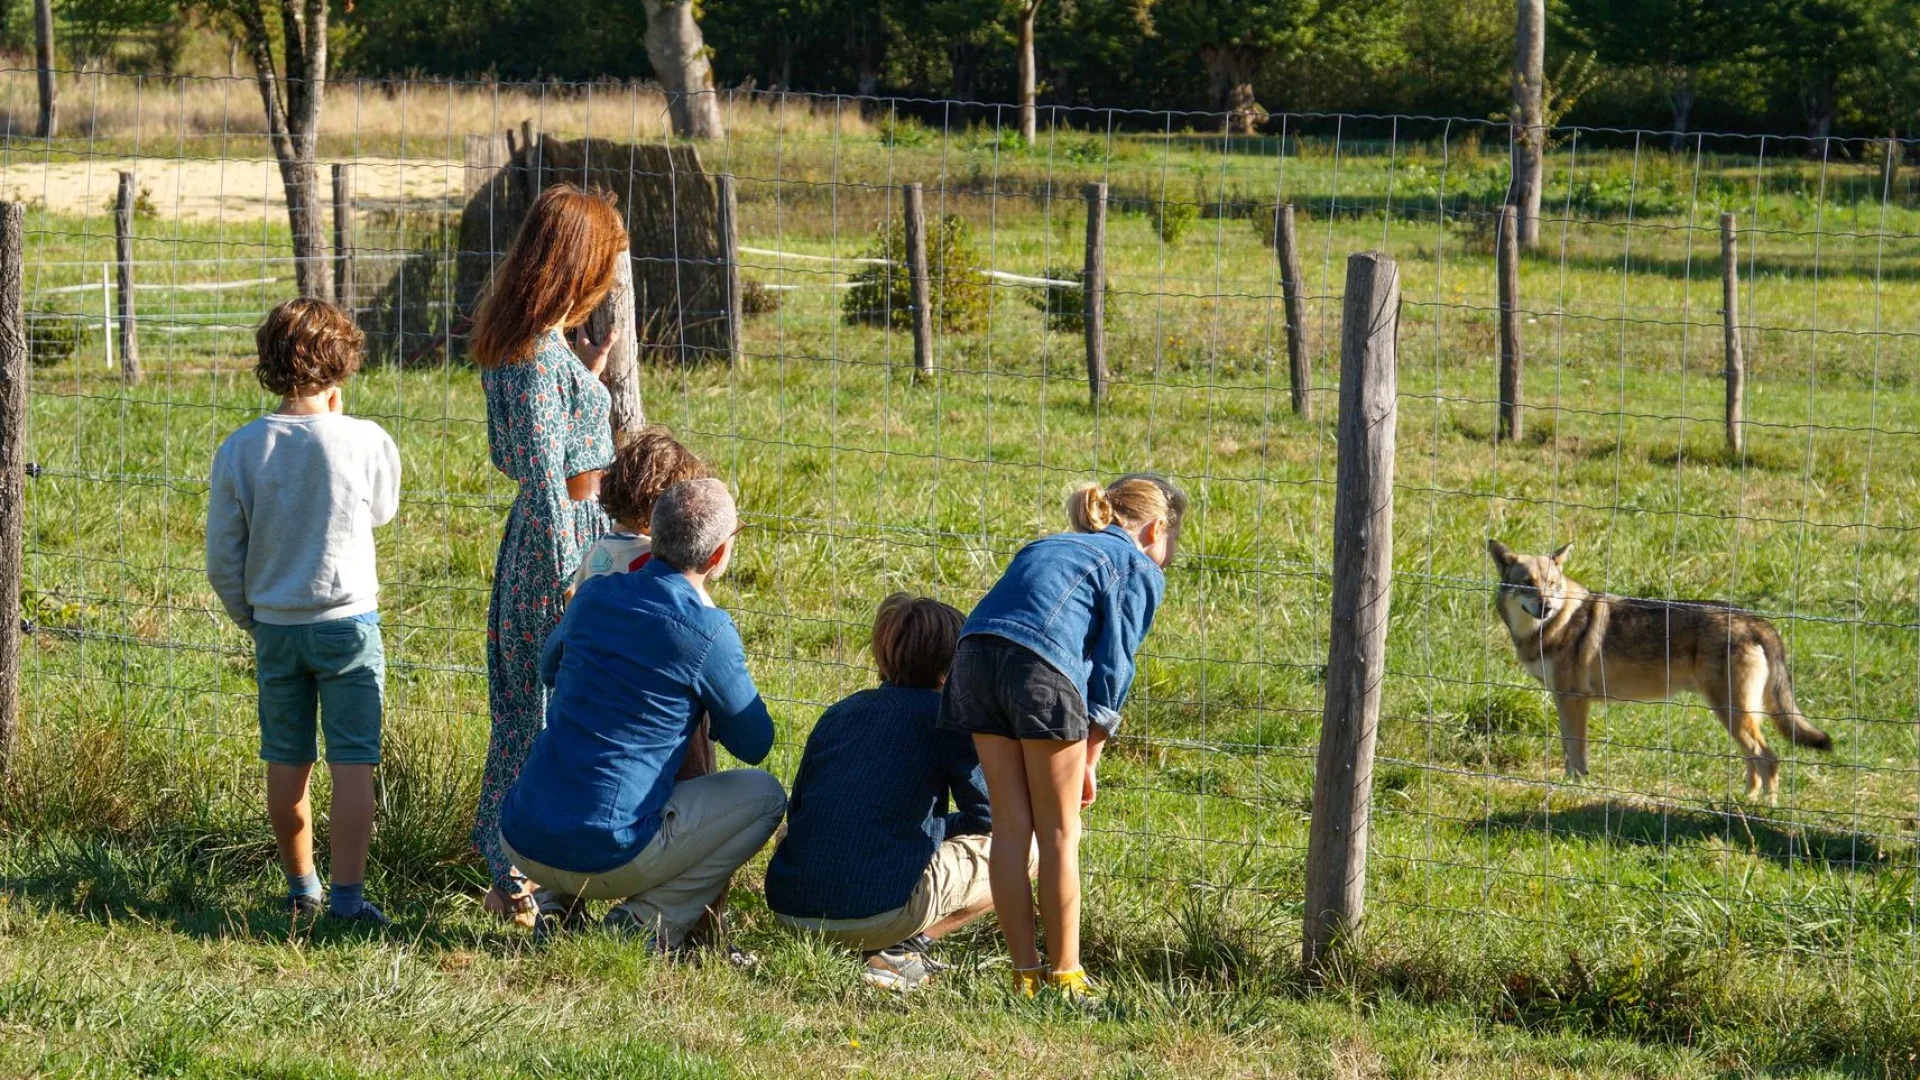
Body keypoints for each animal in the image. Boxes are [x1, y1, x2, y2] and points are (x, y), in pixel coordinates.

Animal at [1482, 538, 1827, 799]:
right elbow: (1570, 750)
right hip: (1738, 716)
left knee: (1770, 759)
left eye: (1552, 584)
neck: (1553, 626)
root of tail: (1754, 619)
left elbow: (1576, 753)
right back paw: (1744, 802)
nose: (1547, 607)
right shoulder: (1563, 699)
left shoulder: (1573, 699)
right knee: (1755, 760)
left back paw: (1765, 809)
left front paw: (1575, 788)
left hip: (1732, 712)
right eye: (1527, 585)